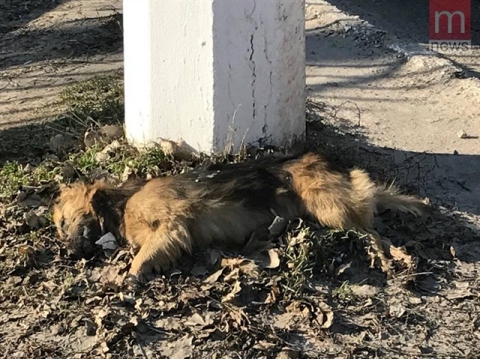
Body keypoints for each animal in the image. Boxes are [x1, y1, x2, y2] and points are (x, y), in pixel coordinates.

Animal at [52, 152, 428, 284]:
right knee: (374, 228)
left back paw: (383, 257)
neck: (121, 202)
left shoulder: (172, 228)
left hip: (328, 206)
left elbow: (140, 259)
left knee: (372, 232)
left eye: (62, 222)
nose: (67, 253)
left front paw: (129, 277)